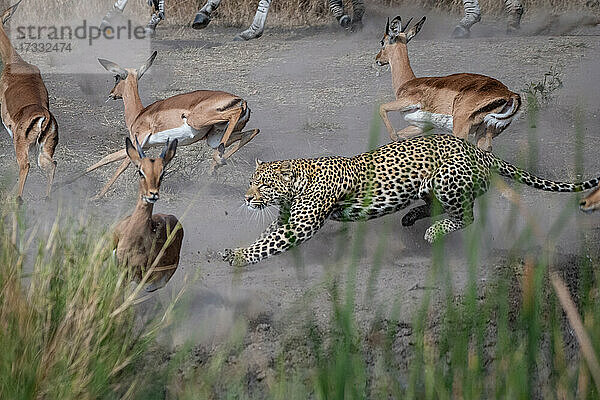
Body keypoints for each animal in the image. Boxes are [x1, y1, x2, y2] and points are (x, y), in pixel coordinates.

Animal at [221, 134, 600, 268]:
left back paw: (433, 232)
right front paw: (235, 251)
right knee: (441, 206)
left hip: (448, 180)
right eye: (251, 183)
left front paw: (237, 256)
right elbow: (267, 237)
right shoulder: (287, 220)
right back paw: (410, 219)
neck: (299, 178)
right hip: (430, 187)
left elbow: (267, 244)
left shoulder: (297, 226)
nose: (246, 198)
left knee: (467, 215)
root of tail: (479, 150)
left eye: (262, 185)